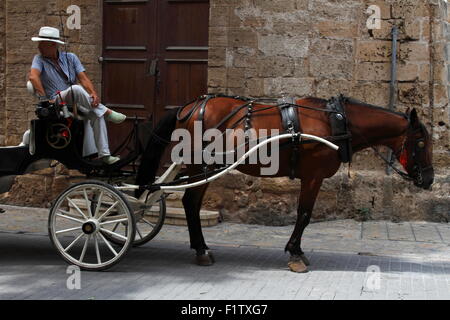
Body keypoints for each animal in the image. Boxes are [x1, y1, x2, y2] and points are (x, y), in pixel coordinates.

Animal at [135, 95, 434, 272]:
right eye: (421, 143)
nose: (429, 179)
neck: (335, 122)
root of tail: (189, 107)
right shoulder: (313, 177)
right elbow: (304, 214)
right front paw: (295, 254)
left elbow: (304, 215)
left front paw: (296, 250)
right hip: (200, 166)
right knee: (190, 203)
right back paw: (201, 250)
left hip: (206, 169)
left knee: (191, 203)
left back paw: (201, 248)